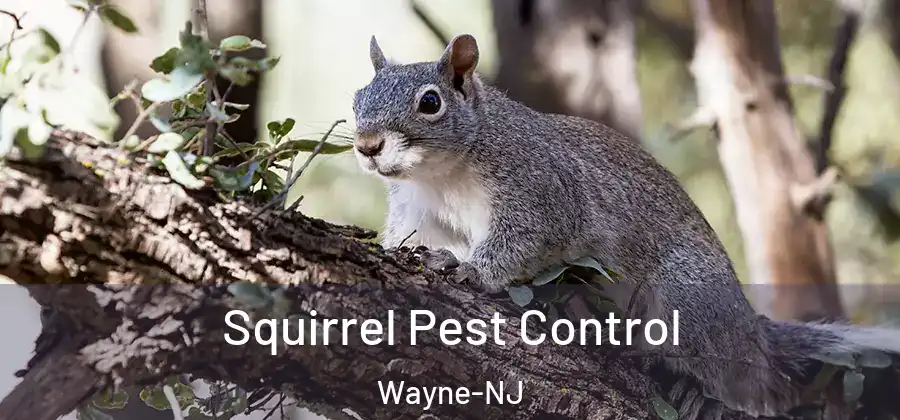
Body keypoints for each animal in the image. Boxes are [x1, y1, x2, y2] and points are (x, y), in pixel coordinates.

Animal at [351, 34, 900, 419]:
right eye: (358, 97)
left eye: (430, 102)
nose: (367, 145)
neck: (442, 173)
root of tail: (749, 329)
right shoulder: (419, 211)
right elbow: (410, 238)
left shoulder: (544, 190)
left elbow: (523, 241)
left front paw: (469, 270)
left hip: (688, 300)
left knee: (750, 384)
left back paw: (703, 392)